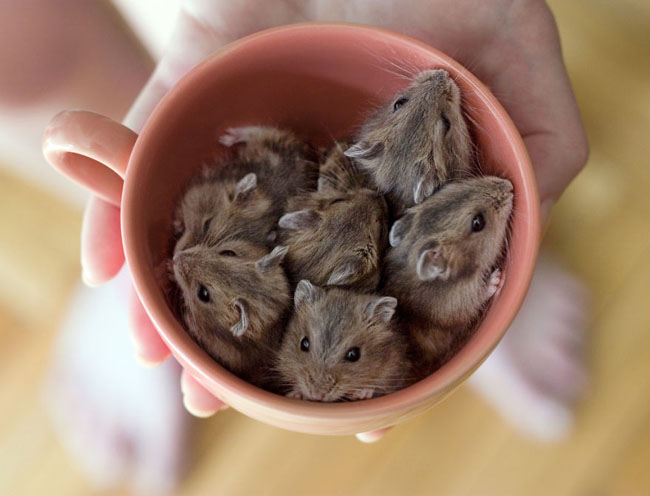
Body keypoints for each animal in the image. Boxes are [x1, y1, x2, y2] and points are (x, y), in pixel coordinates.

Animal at [382, 175, 512, 372]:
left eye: (449, 187)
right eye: (478, 222)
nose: (509, 185)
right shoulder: (462, 302)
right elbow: (480, 295)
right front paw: (498, 277)